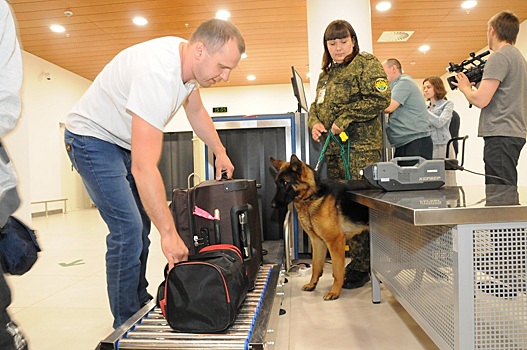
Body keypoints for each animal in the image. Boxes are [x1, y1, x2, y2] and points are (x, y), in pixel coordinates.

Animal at [272, 154, 376, 300]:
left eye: (285, 183)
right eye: (277, 183)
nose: (272, 204)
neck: (312, 196)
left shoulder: (335, 241)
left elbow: (337, 270)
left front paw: (335, 292)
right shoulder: (317, 242)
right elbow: (316, 266)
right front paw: (312, 284)